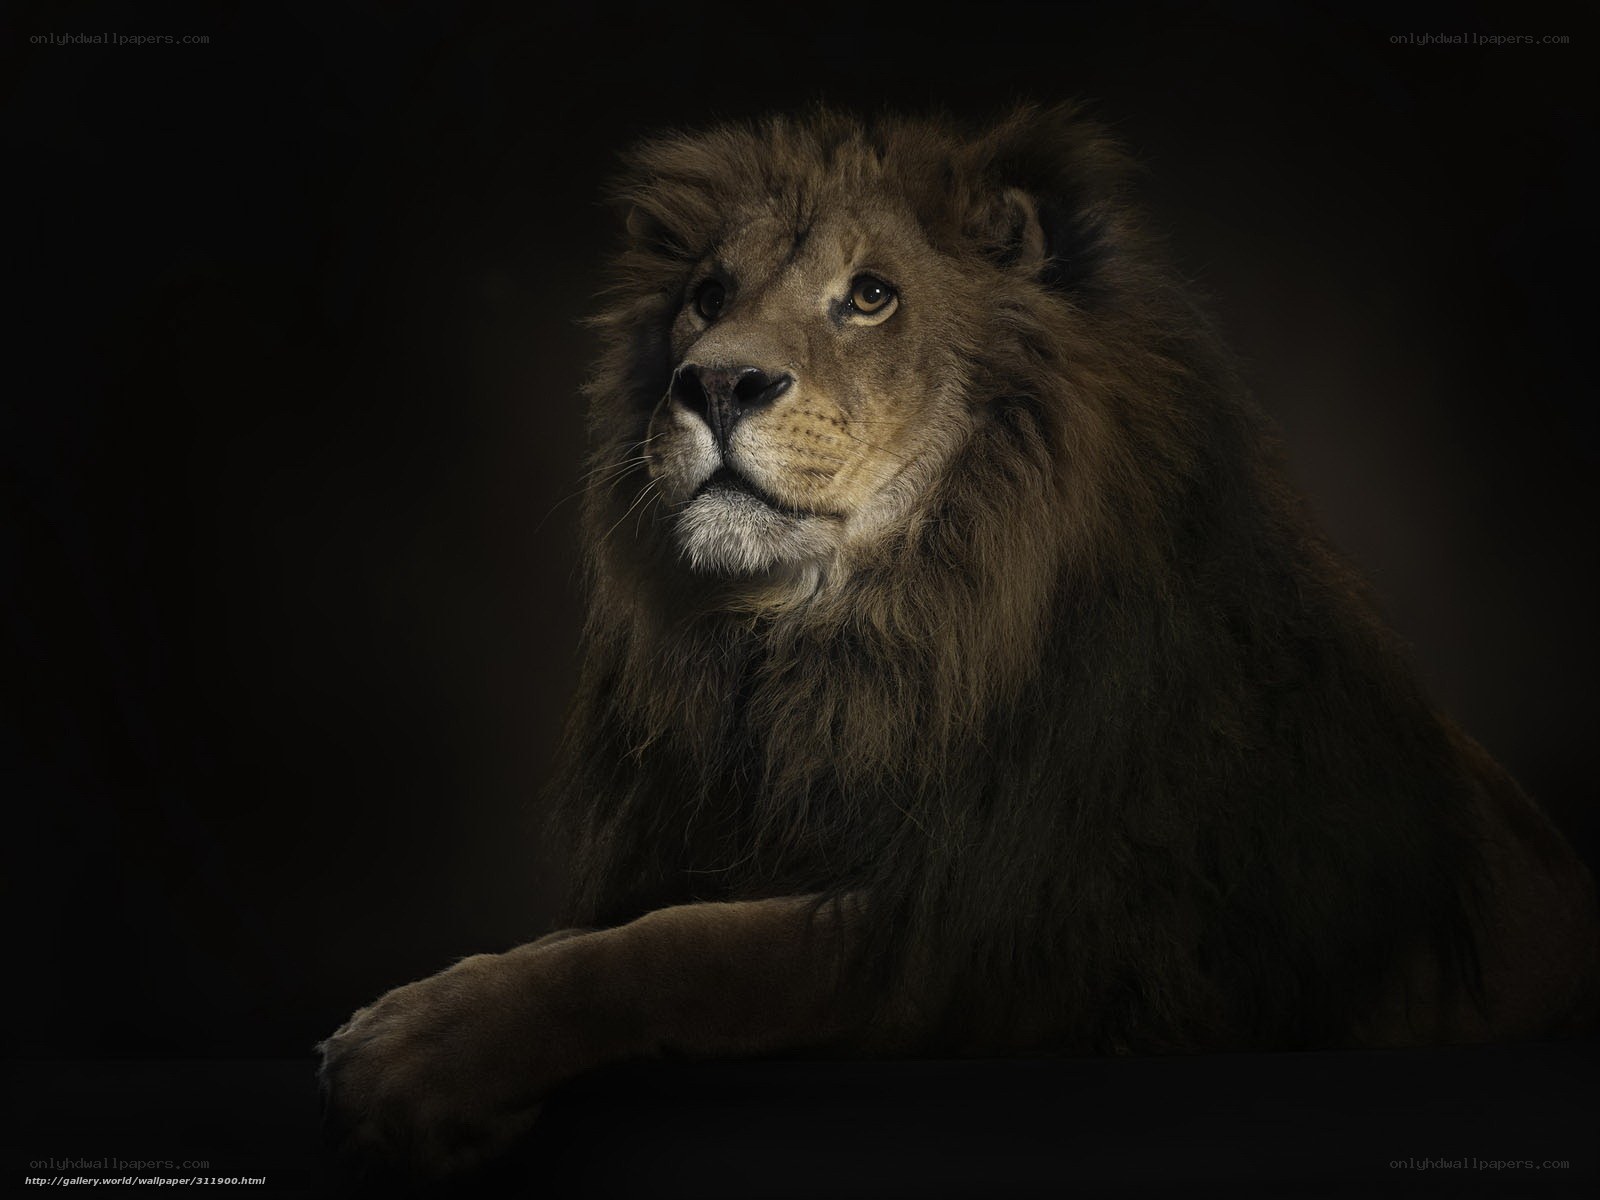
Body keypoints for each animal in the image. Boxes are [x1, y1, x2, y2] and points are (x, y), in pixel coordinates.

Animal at [318, 104, 1600, 1175]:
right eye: (706, 293)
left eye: (870, 296)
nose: (713, 383)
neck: (850, 642)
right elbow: (636, 925)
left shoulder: (1008, 933)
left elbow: (687, 950)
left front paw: (416, 1047)